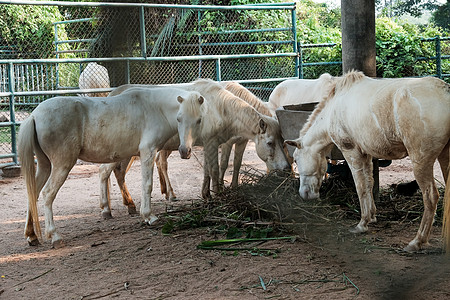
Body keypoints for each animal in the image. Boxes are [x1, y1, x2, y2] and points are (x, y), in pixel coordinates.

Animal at [17, 86, 204, 246]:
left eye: (199, 120)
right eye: (179, 118)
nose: (184, 151)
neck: (155, 107)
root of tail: (34, 115)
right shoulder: (148, 152)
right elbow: (147, 185)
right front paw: (149, 216)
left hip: (45, 165)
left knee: (33, 193)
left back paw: (31, 236)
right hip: (61, 166)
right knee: (48, 194)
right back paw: (54, 235)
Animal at [286, 71, 448, 252]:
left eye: (296, 159)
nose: (304, 194)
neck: (333, 109)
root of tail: (445, 92)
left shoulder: (352, 152)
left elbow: (360, 187)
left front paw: (362, 224)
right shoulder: (367, 155)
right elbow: (369, 184)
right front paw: (371, 216)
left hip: (421, 161)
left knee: (430, 197)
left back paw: (417, 241)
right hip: (444, 158)